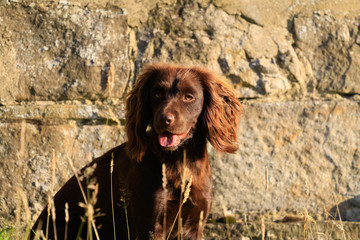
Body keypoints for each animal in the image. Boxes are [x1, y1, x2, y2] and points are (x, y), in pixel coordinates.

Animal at [31, 64, 242, 240]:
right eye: (157, 94)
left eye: (188, 97)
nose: (164, 119)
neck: (180, 162)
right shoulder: (149, 224)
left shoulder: (193, 224)